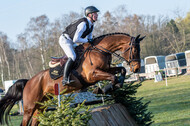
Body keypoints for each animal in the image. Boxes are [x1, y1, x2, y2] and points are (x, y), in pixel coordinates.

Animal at [0, 32, 144, 125]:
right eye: (135, 50)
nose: (137, 69)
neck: (99, 50)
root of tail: (29, 81)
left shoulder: (106, 69)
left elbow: (121, 70)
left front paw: (116, 85)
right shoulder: (92, 74)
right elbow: (113, 77)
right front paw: (103, 89)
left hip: (41, 105)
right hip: (29, 107)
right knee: (25, 121)